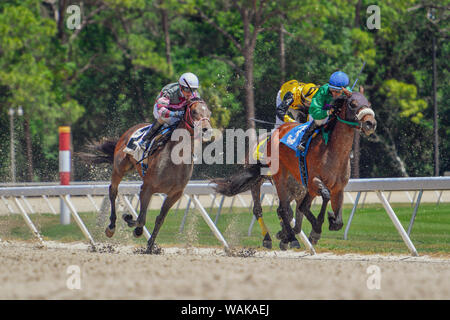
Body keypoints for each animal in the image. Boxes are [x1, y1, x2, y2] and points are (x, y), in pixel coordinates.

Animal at [79, 97, 213, 252]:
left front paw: (150, 246)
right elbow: (141, 218)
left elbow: (159, 219)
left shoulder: (175, 194)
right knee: (113, 191)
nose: (206, 130)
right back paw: (111, 227)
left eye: (209, 112)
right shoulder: (147, 187)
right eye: (194, 111)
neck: (176, 157)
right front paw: (130, 221)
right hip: (120, 168)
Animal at [213, 88, 378, 250]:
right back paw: (273, 238)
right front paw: (314, 229)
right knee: (268, 209)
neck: (332, 152)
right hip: (271, 179)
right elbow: (322, 197)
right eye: (353, 104)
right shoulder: (312, 181)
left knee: (286, 209)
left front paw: (326, 222)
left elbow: (331, 219)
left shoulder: (335, 189)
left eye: (369, 103)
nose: (370, 123)